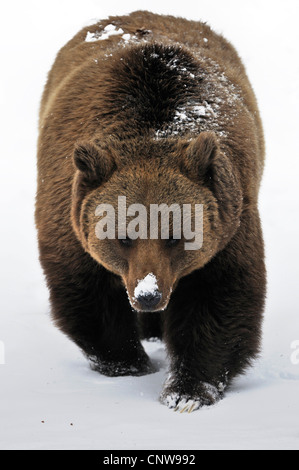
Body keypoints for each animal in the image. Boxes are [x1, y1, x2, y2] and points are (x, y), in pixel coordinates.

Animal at [35, 11, 268, 414]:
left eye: (177, 235)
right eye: (122, 236)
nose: (148, 296)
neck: (154, 129)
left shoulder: (231, 220)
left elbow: (220, 297)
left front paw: (187, 390)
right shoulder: (68, 211)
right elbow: (88, 290)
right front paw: (127, 362)